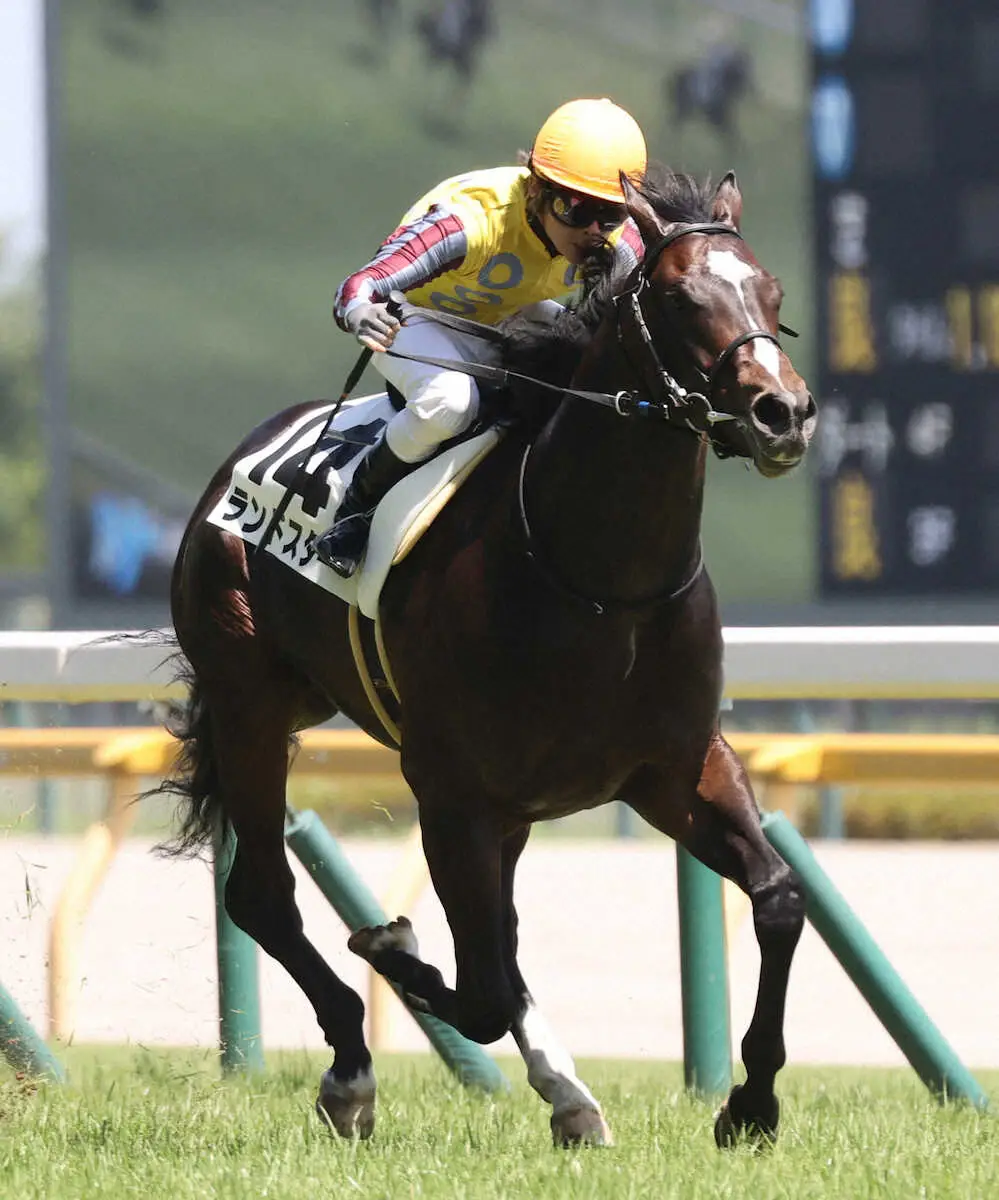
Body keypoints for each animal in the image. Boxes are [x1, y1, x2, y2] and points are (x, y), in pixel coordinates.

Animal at [163, 166, 817, 1148]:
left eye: (770, 292)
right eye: (676, 297)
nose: (782, 412)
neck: (598, 585)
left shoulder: (675, 767)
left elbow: (777, 899)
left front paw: (750, 1105)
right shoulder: (451, 793)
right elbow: (476, 990)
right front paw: (385, 942)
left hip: (494, 802)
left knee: (487, 940)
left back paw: (569, 1097)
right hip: (250, 704)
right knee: (265, 897)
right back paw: (351, 1073)